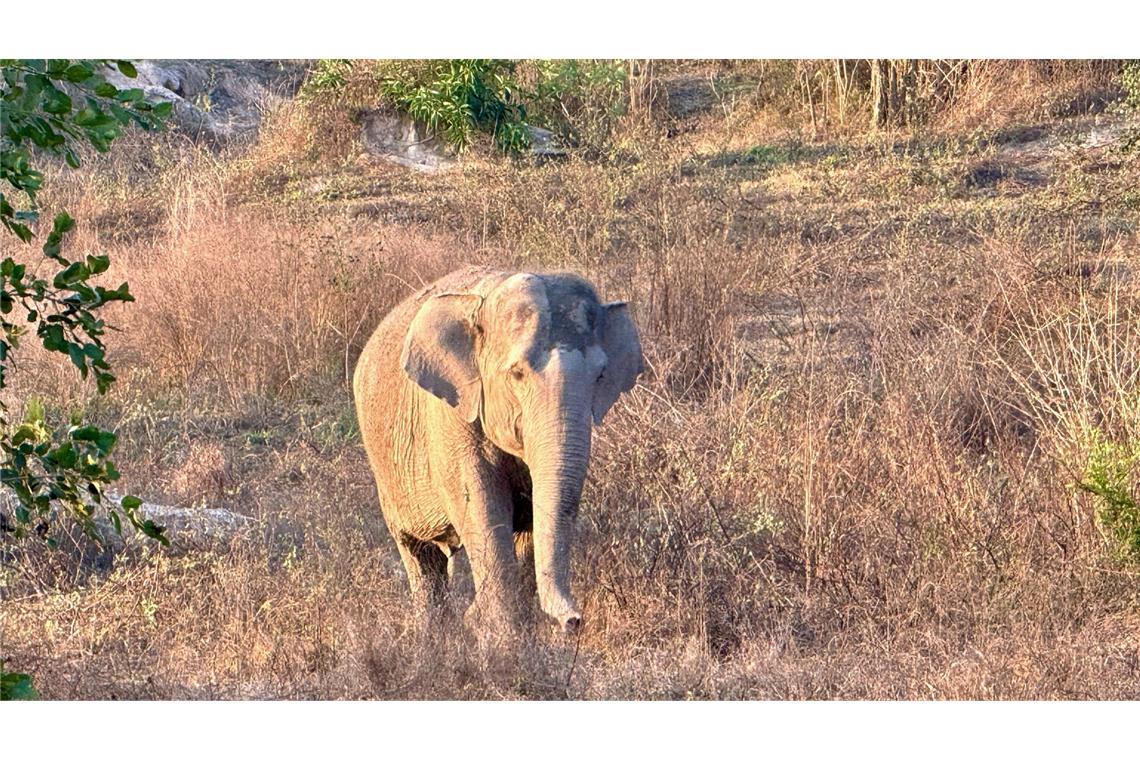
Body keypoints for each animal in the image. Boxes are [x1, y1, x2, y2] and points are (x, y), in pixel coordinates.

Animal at [353, 266, 644, 636]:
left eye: (600, 375)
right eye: (517, 374)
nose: (574, 621)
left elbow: (533, 521)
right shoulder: (451, 419)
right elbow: (483, 507)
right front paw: (501, 639)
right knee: (419, 556)